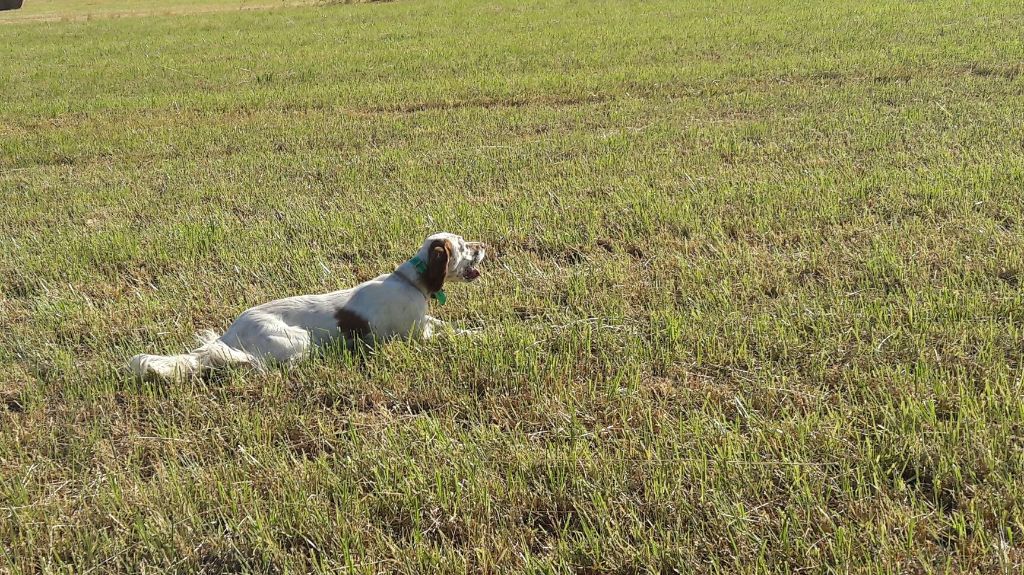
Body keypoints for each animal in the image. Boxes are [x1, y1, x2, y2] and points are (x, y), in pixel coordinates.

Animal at [129, 230, 487, 378]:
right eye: (463, 245)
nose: (485, 245)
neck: (411, 282)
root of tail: (229, 335)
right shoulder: (417, 336)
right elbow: (451, 333)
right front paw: (478, 335)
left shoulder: (425, 323)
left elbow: (448, 325)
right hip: (298, 341)